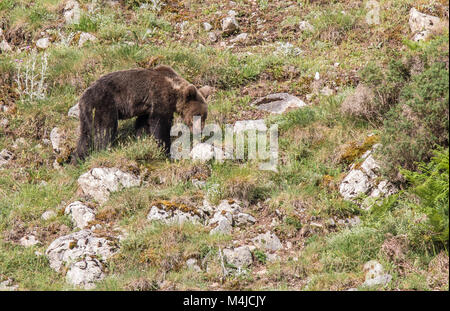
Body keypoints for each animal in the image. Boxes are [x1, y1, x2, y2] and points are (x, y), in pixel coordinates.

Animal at [71, 66, 209, 163]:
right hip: (104, 105)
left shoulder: (147, 107)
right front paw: (165, 150)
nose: (200, 130)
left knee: (85, 136)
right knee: (104, 129)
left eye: (204, 116)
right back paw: (104, 150)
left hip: (87, 113)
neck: (174, 92)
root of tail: (83, 97)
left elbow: (143, 124)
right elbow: (160, 125)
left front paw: (141, 139)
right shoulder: (159, 98)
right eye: (197, 115)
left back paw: (78, 159)